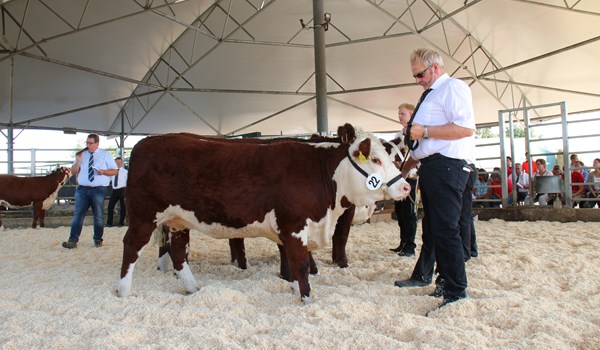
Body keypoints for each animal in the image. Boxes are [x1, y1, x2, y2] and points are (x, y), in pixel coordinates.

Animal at [116, 127, 408, 302]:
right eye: (375, 159)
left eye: (391, 157)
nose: (405, 186)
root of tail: (146, 142)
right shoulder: (294, 225)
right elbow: (301, 264)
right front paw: (306, 299)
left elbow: (293, 264)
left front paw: (295, 290)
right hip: (144, 215)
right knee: (131, 247)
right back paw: (122, 291)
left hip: (177, 220)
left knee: (178, 251)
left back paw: (193, 288)